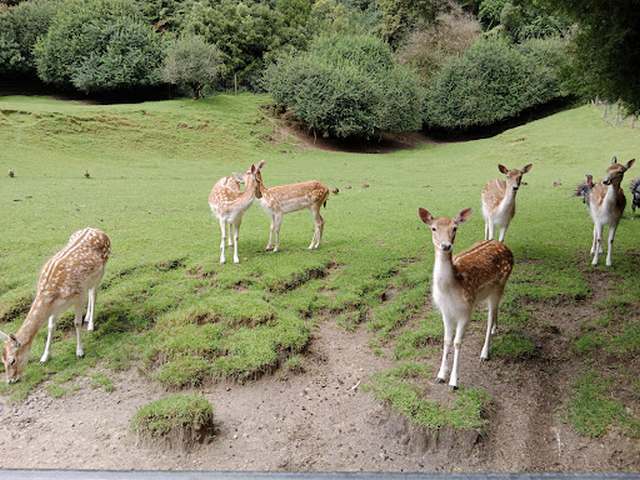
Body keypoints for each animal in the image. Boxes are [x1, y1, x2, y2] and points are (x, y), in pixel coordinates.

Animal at [0, 227, 110, 384]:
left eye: (12, 360)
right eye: (2, 361)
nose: (10, 381)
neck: (50, 295)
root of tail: (96, 229)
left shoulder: (78, 295)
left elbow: (76, 323)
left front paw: (80, 352)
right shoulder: (55, 307)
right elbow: (51, 327)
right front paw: (44, 357)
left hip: (101, 272)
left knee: (93, 294)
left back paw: (90, 325)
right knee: (90, 293)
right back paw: (88, 317)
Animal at [418, 208, 512, 388]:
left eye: (455, 228)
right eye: (433, 228)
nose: (446, 246)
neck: (450, 289)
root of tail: (504, 246)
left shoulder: (466, 310)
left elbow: (457, 342)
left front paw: (454, 381)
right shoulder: (445, 311)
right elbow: (447, 340)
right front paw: (440, 375)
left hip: (499, 286)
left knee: (490, 317)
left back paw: (485, 353)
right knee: (496, 310)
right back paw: (495, 328)